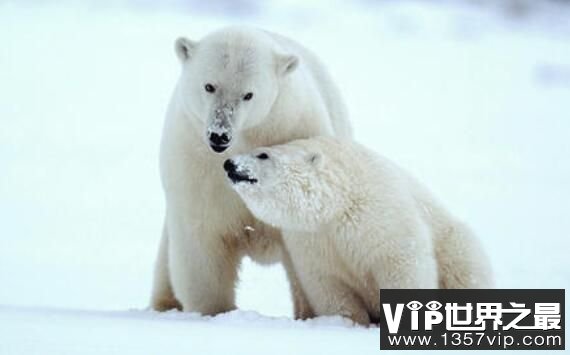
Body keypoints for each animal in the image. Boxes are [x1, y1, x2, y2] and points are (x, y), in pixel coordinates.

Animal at [150, 27, 350, 318]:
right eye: (209, 86)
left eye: (248, 94)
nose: (219, 135)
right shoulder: (195, 165)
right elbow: (202, 243)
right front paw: (214, 312)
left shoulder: (294, 128)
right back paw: (164, 305)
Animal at [224, 138, 490, 326]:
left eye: (263, 154)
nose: (229, 163)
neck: (338, 202)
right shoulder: (312, 239)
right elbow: (329, 284)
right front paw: (349, 323)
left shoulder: (379, 214)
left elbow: (401, 262)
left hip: (454, 242)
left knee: (465, 271)